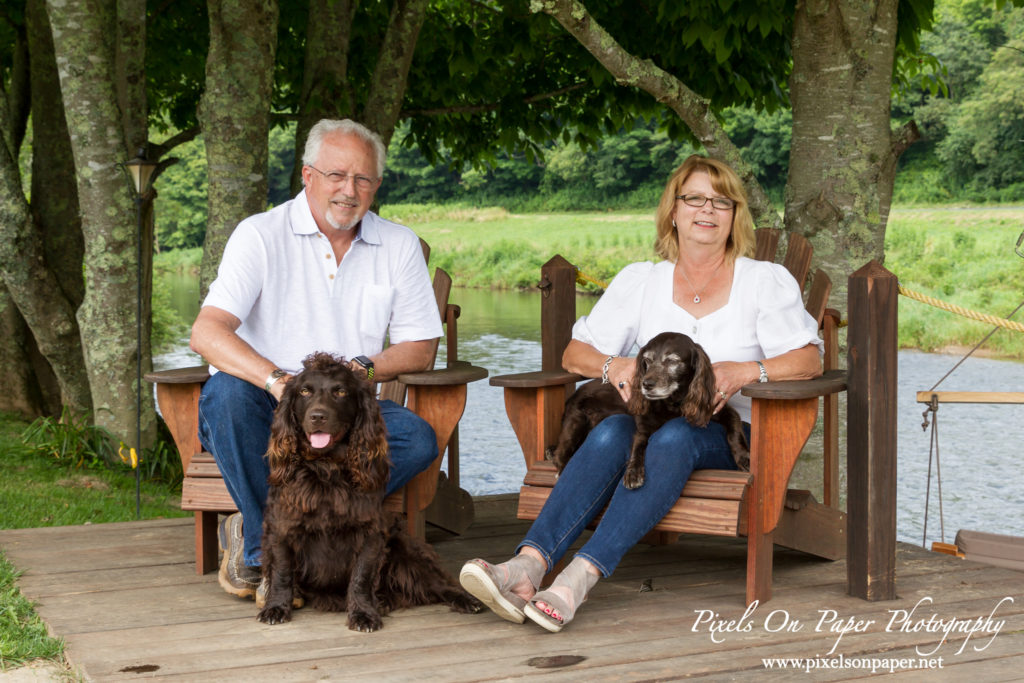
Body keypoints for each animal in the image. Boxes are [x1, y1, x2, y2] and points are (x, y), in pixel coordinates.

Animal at [256, 352, 479, 634]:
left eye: (340, 392)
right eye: (305, 391)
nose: (318, 416)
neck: (326, 468)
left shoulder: (370, 532)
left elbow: (361, 576)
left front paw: (363, 613)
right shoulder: (282, 527)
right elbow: (282, 572)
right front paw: (275, 607)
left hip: (404, 549)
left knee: (439, 582)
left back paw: (467, 599)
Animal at [544, 331, 753, 489]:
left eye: (672, 361)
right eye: (647, 360)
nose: (646, 384)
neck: (673, 404)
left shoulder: (717, 410)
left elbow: (735, 427)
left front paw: (744, 457)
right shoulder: (643, 429)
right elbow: (638, 447)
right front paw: (633, 473)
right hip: (576, 421)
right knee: (561, 454)